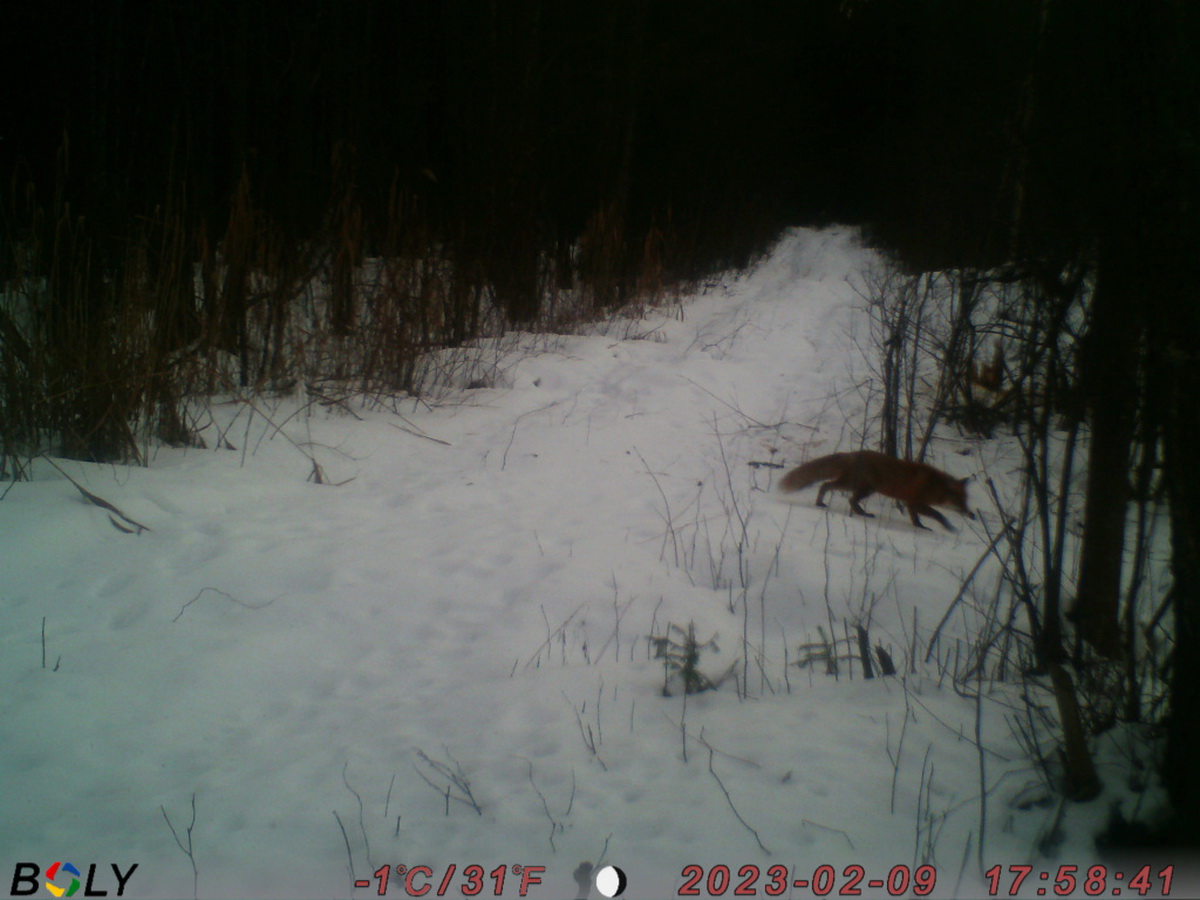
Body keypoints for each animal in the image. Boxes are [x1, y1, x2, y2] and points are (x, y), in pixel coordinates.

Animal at [777, 448, 974, 532]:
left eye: (966, 500)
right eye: (959, 501)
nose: (971, 515)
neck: (934, 486)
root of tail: (851, 454)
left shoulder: (910, 503)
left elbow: (915, 519)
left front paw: (920, 527)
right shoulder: (915, 502)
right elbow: (938, 514)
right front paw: (948, 527)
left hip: (865, 488)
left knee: (847, 497)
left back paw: (860, 513)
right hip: (857, 486)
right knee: (829, 487)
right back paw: (822, 503)